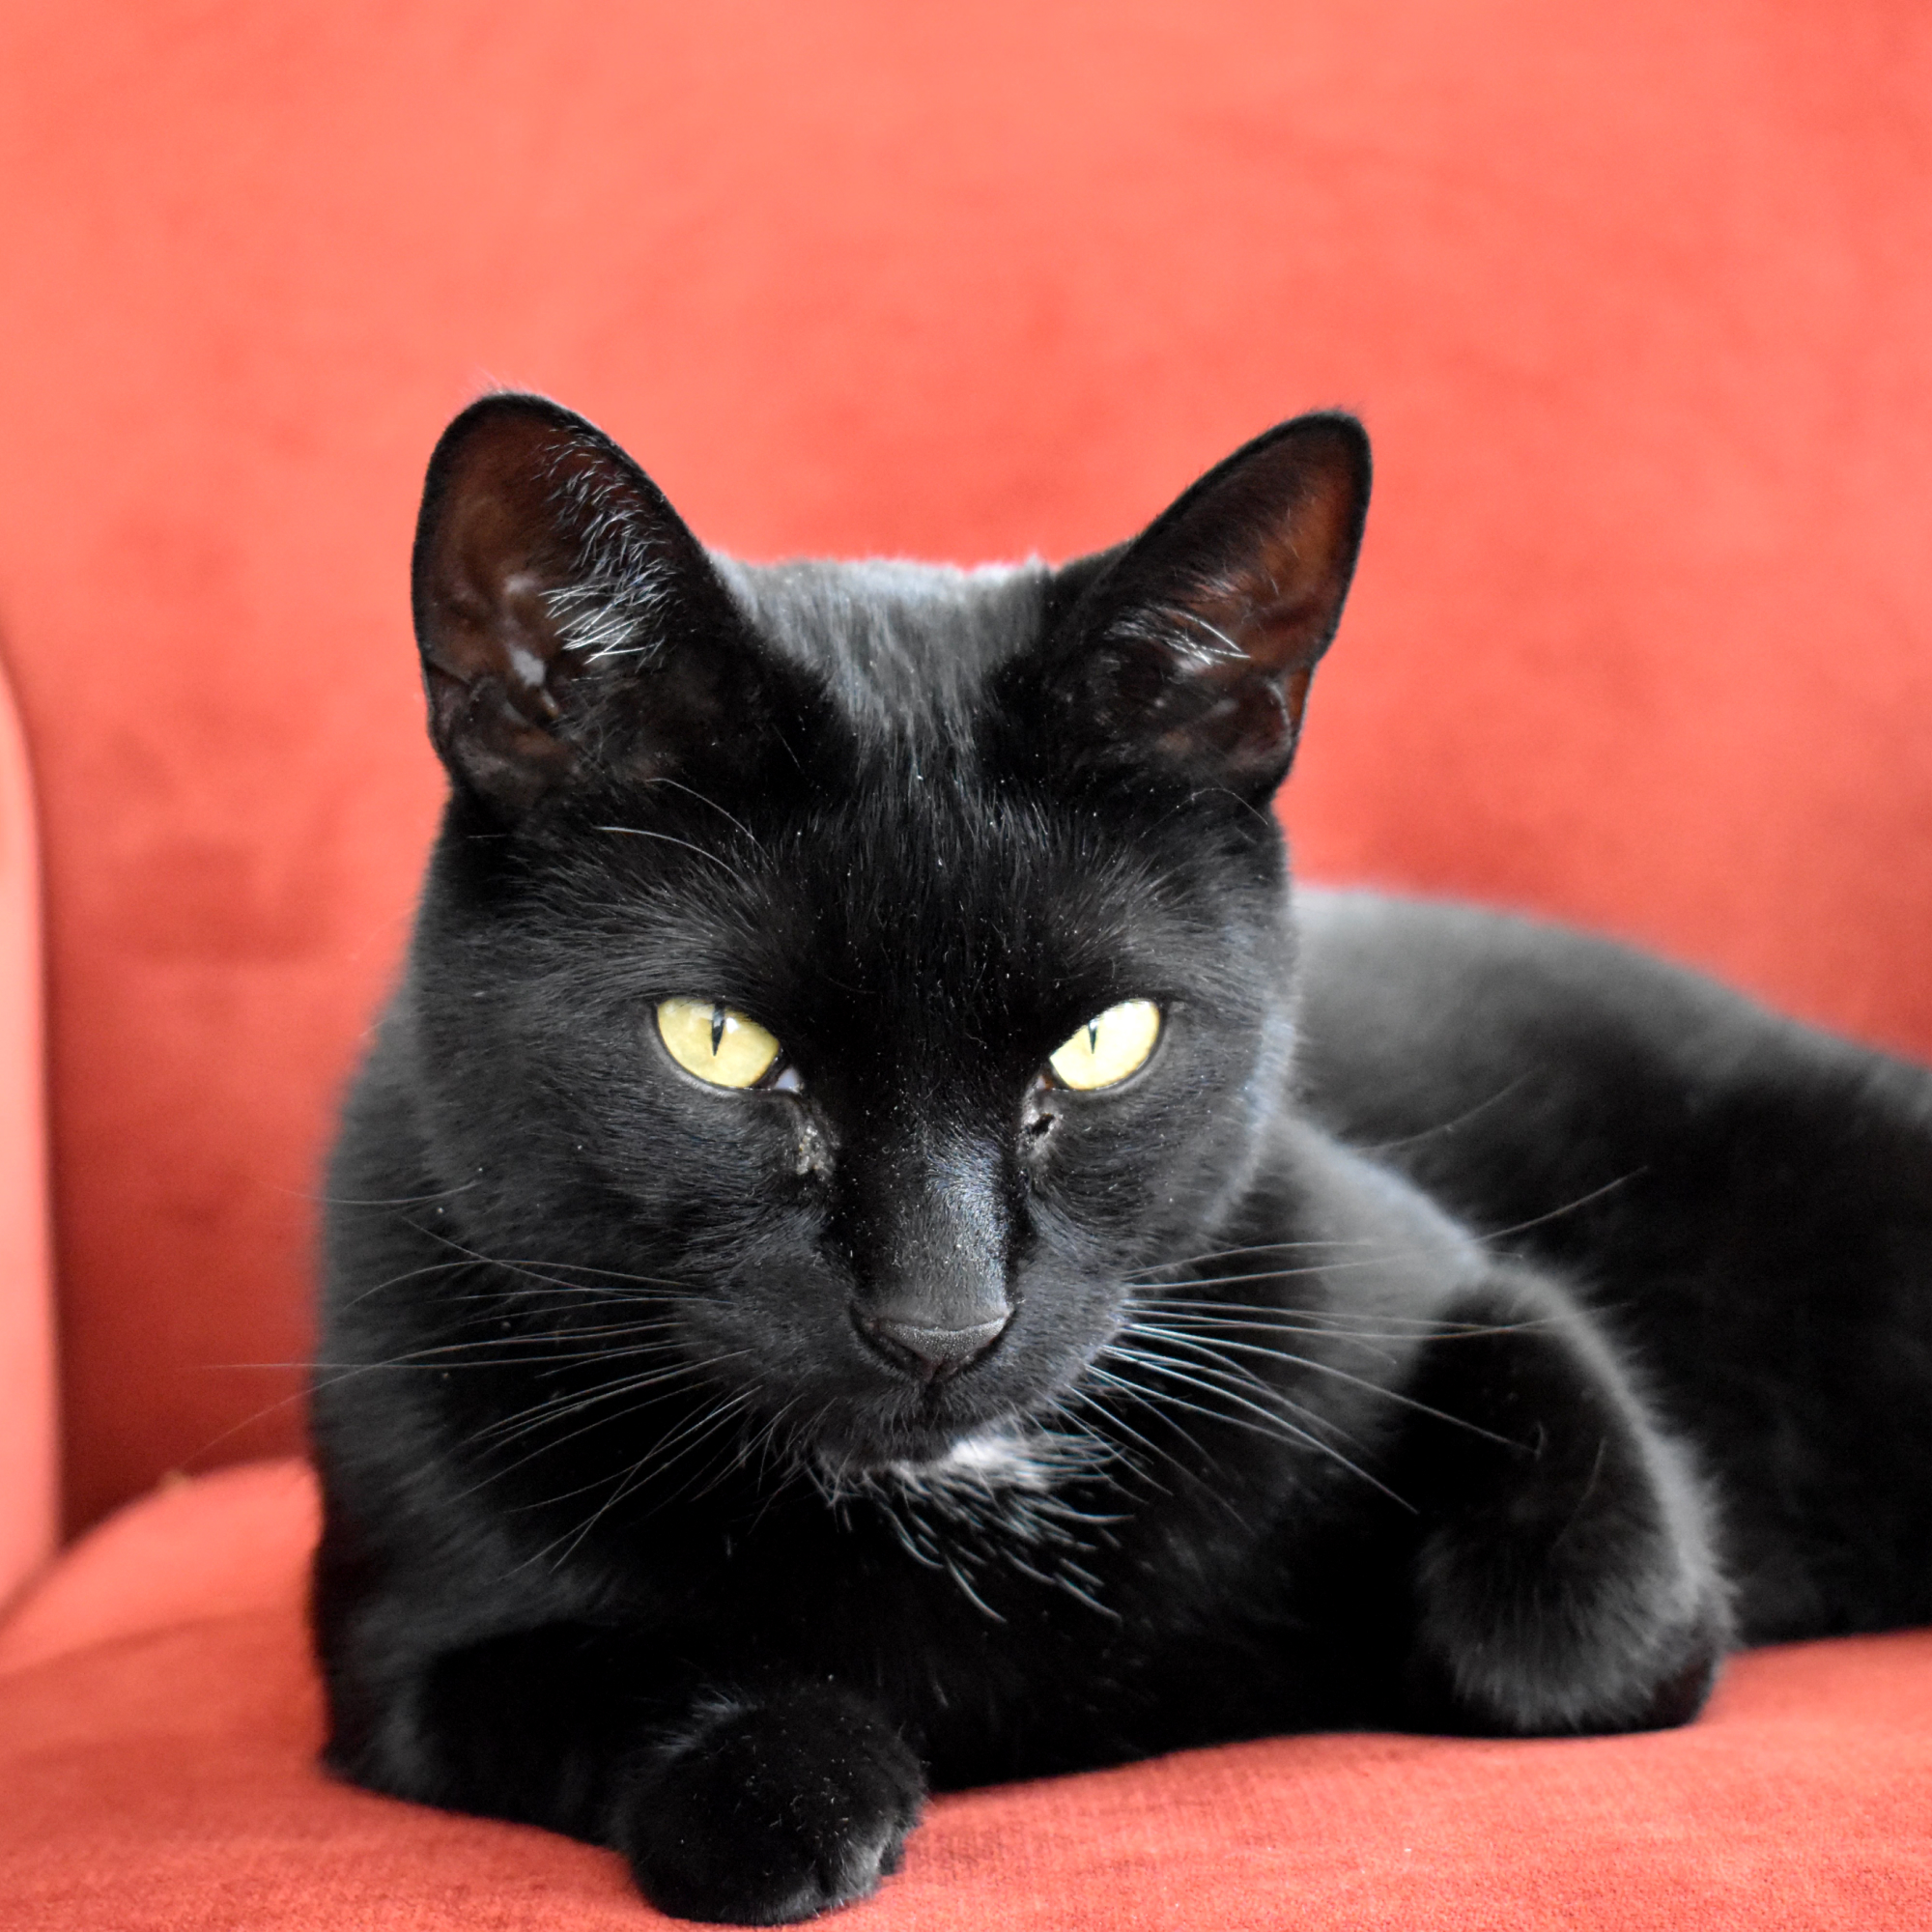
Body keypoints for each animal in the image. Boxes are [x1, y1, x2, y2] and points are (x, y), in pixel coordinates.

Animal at [313, 392, 1932, 1917]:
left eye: (1106, 1044)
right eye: (717, 1043)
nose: (943, 1321)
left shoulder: (1440, 1282)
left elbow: (1581, 1638)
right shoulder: (401, 1636)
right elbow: (601, 1687)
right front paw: (783, 1786)